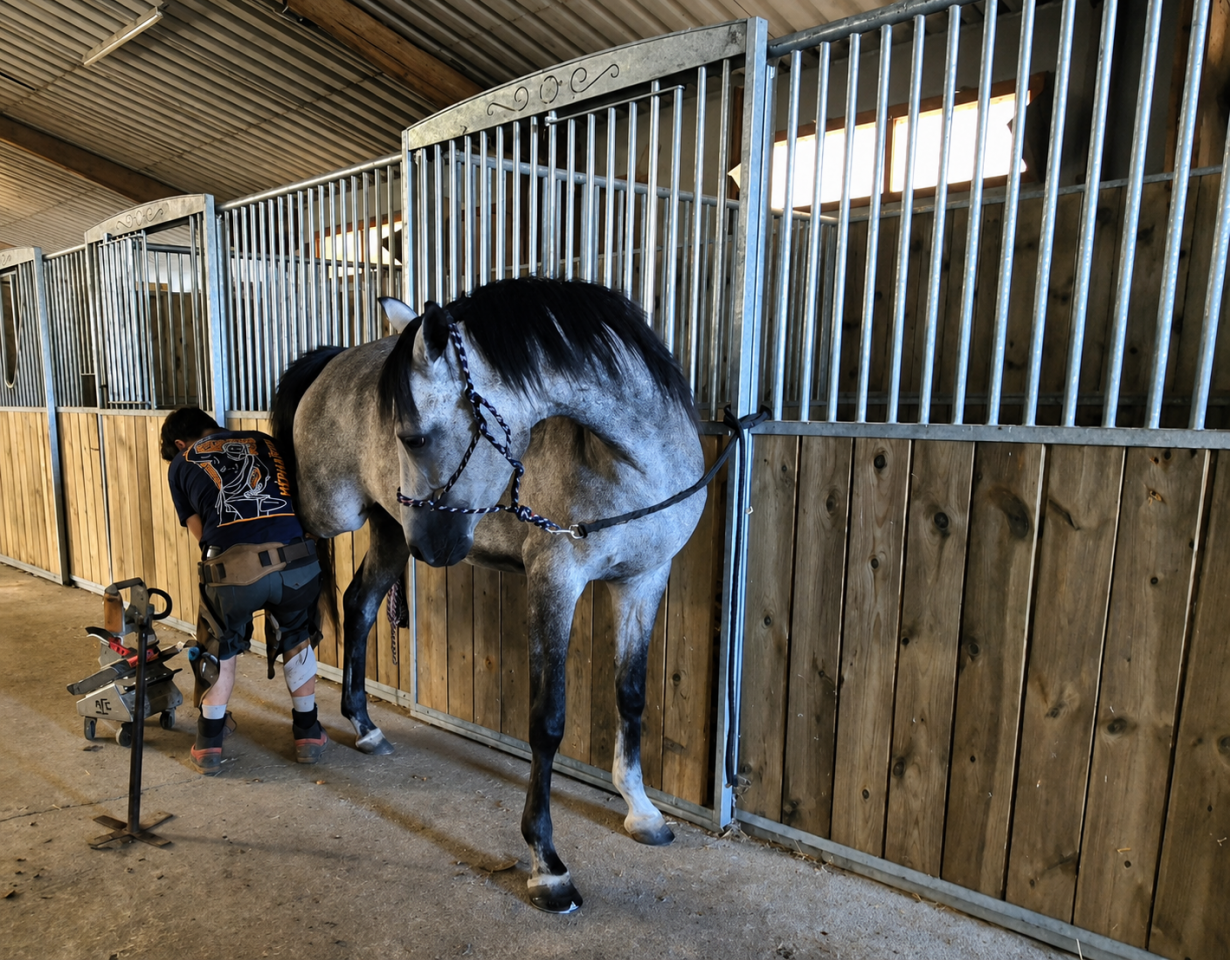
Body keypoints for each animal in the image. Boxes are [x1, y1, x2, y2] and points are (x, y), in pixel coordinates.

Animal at [273, 277, 706, 913]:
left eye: (413, 436)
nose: (434, 545)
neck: (630, 463)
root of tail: (330, 361)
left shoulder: (645, 579)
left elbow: (630, 696)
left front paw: (642, 811)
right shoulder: (556, 581)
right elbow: (547, 721)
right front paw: (547, 865)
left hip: (388, 531)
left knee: (359, 605)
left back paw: (365, 726)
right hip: (324, 519)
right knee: (284, 603)